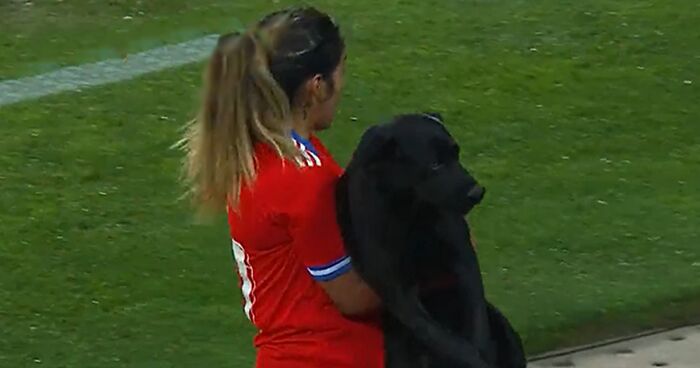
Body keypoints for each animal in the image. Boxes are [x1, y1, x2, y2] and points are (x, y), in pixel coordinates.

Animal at [334, 113, 524, 366]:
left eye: (456, 154)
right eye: (435, 164)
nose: (477, 192)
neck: (410, 212)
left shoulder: (463, 258)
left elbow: (477, 326)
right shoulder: (399, 293)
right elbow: (446, 340)